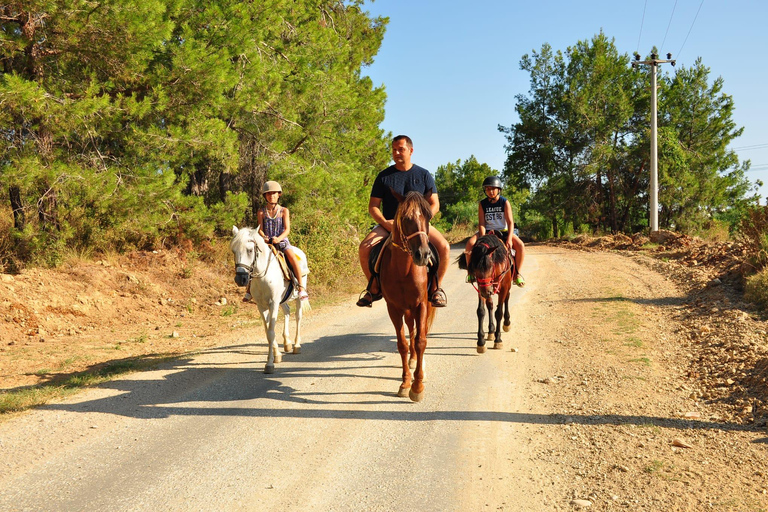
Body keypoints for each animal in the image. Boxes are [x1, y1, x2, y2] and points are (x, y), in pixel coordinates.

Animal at [230, 226, 310, 374]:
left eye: (250, 250)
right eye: (233, 250)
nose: (240, 279)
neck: (263, 277)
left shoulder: (273, 303)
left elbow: (271, 332)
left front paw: (269, 364)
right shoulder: (262, 306)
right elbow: (268, 332)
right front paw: (277, 355)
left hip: (298, 297)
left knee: (298, 316)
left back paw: (296, 345)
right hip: (282, 300)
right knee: (287, 311)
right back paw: (287, 343)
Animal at [380, 190, 438, 402]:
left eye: (428, 216)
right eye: (406, 219)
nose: (423, 254)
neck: (403, 270)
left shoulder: (421, 304)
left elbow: (421, 341)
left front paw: (418, 386)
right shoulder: (393, 307)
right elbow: (403, 344)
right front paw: (405, 383)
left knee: (420, 332)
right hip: (406, 309)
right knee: (411, 331)